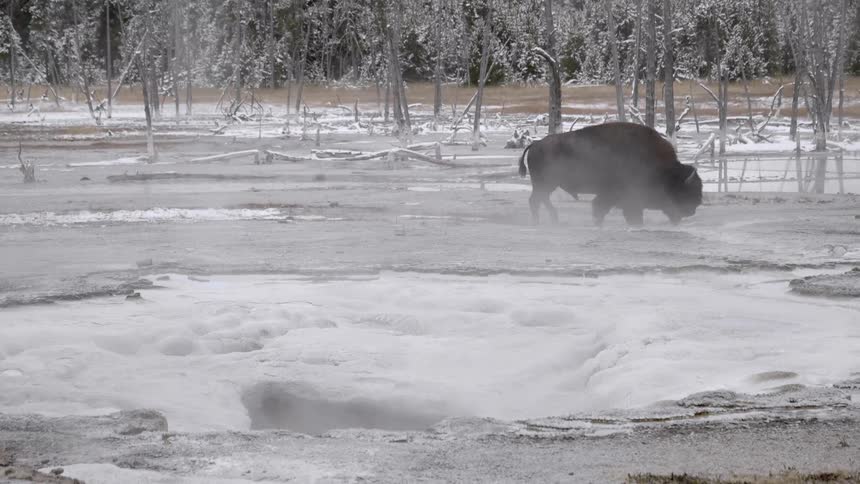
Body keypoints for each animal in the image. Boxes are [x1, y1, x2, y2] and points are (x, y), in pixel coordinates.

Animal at [518, 122, 702, 226]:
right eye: (686, 190)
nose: (693, 209)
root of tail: (535, 144)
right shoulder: (620, 196)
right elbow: (604, 208)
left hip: (547, 185)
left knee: (540, 200)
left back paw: (552, 220)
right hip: (544, 184)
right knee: (536, 200)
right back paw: (541, 222)